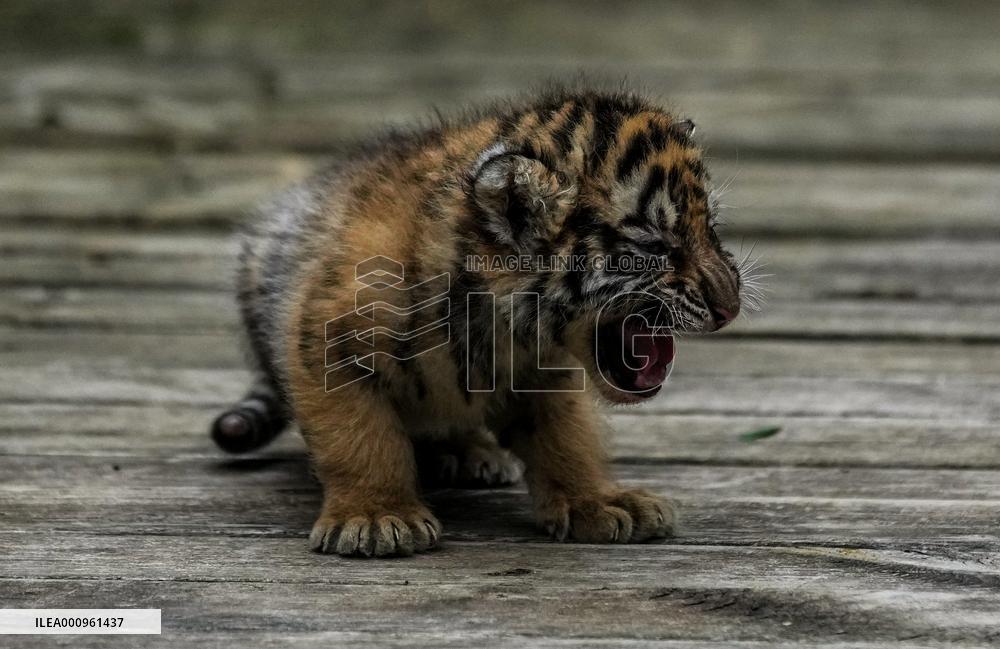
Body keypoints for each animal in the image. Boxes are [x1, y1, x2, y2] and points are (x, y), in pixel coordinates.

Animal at [210, 86, 744, 557]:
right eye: (655, 245)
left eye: (711, 228)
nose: (731, 306)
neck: (500, 319)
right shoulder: (324, 338)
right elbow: (360, 439)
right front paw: (375, 514)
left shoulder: (545, 371)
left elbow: (566, 437)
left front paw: (596, 501)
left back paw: (473, 453)